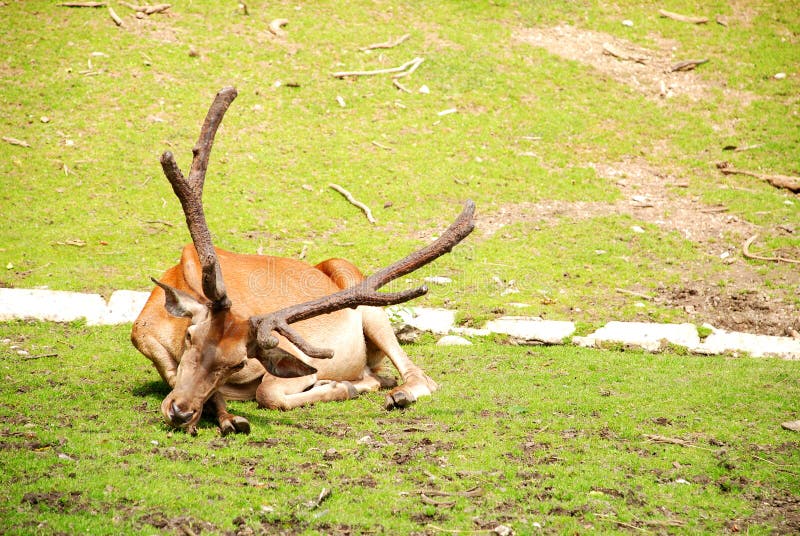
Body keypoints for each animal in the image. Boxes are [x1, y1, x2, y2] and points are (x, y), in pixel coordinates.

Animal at [131, 87, 475, 435]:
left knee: (420, 376)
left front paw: (340, 387)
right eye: (190, 337)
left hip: (365, 299)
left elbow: (268, 392)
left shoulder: (291, 354)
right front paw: (226, 417)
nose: (181, 411)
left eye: (239, 361)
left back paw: (394, 393)